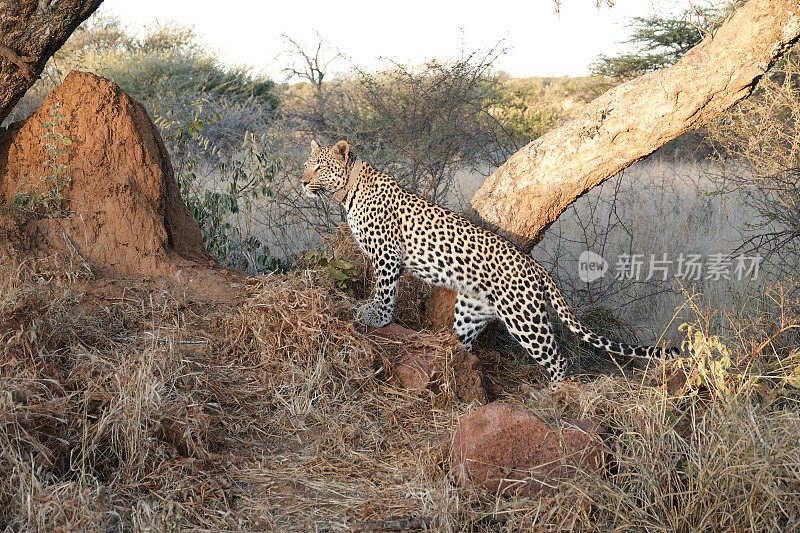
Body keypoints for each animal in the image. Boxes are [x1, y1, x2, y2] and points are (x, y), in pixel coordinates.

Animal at [304, 139, 680, 382]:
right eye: (306, 165)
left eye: (320, 166)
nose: (304, 181)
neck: (347, 191)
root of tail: (535, 266)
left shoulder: (386, 253)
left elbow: (384, 290)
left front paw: (377, 317)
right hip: (472, 310)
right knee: (465, 341)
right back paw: (457, 364)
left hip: (525, 319)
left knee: (558, 359)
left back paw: (556, 395)